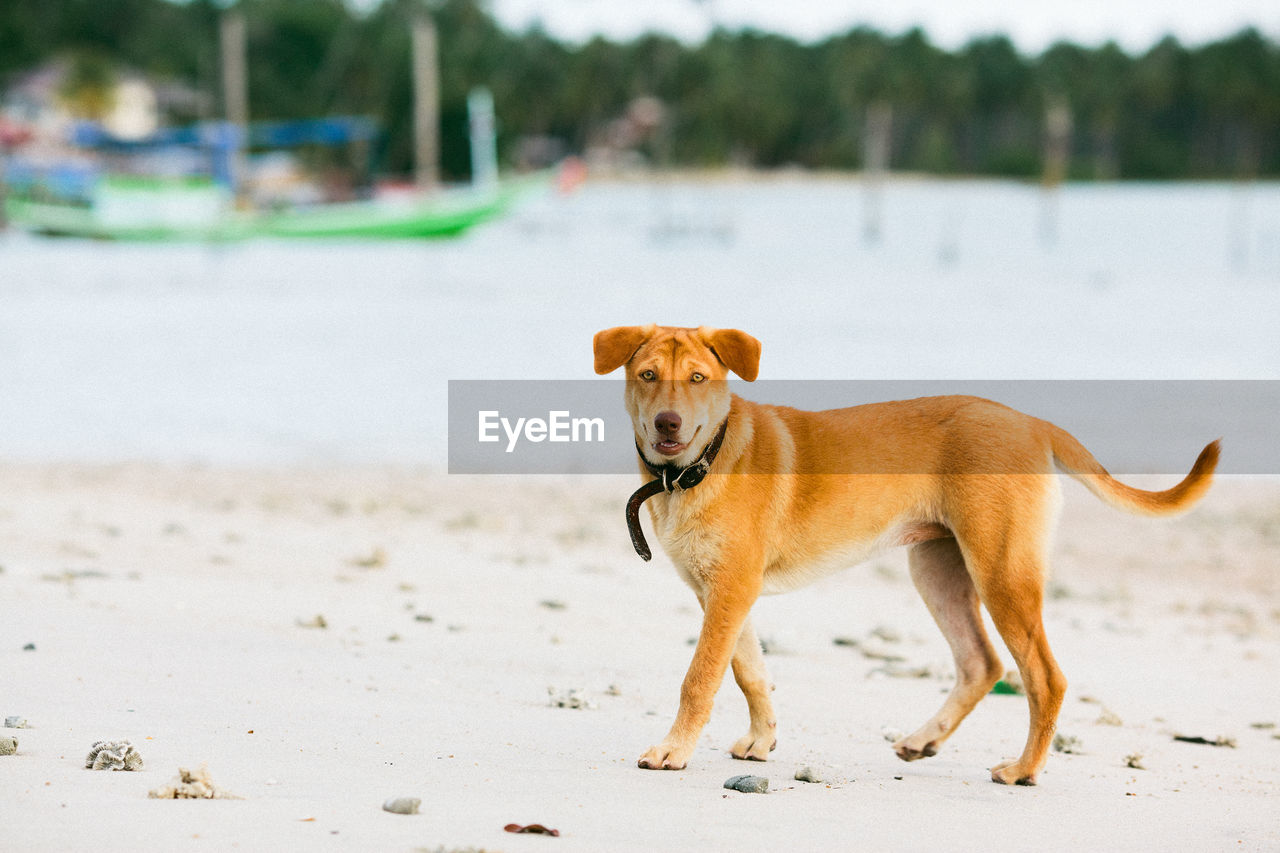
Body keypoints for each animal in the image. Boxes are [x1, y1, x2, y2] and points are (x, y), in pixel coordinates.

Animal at [593, 322, 1213, 778]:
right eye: (648, 375)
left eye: (698, 378)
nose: (667, 424)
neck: (700, 465)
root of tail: (1032, 423)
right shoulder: (721, 593)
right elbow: (750, 671)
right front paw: (762, 739)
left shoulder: (731, 590)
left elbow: (700, 678)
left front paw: (673, 751)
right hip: (938, 569)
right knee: (982, 664)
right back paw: (923, 740)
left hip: (1001, 574)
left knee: (1044, 677)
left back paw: (1023, 770)